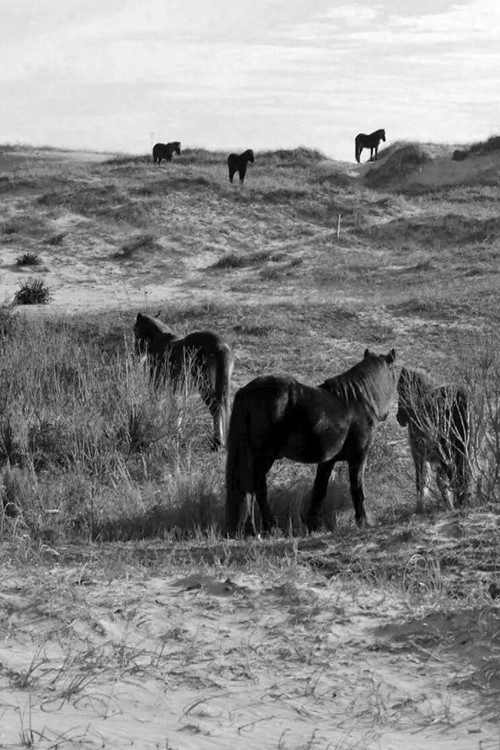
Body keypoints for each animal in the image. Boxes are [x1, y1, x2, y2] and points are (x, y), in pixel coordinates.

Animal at [134, 312, 235, 450]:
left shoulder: (156, 382)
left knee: (215, 407)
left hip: (203, 383)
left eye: (135, 330)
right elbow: (177, 407)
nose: (136, 353)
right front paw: (175, 435)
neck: (160, 340)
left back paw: (217, 442)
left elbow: (158, 403)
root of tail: (221, 344)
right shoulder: (177, 386)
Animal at [225, 348, 397, 536]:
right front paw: (363, 522)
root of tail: (245, 391)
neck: (356, 402)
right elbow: (357, 488)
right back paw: (265, 527)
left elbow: (319, 491)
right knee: (256, 488)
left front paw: (313, 525)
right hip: (264, 457)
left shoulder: (328, 461)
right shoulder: (358, 457)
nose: (386, 414)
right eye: (394, 373)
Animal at [396, 367, 470, 512]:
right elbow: (439, 481)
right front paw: (448, 504)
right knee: (461, 473)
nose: (398, 417)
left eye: (401, 390)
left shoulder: (419, 454)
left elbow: (421, 480)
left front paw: (419, 507)